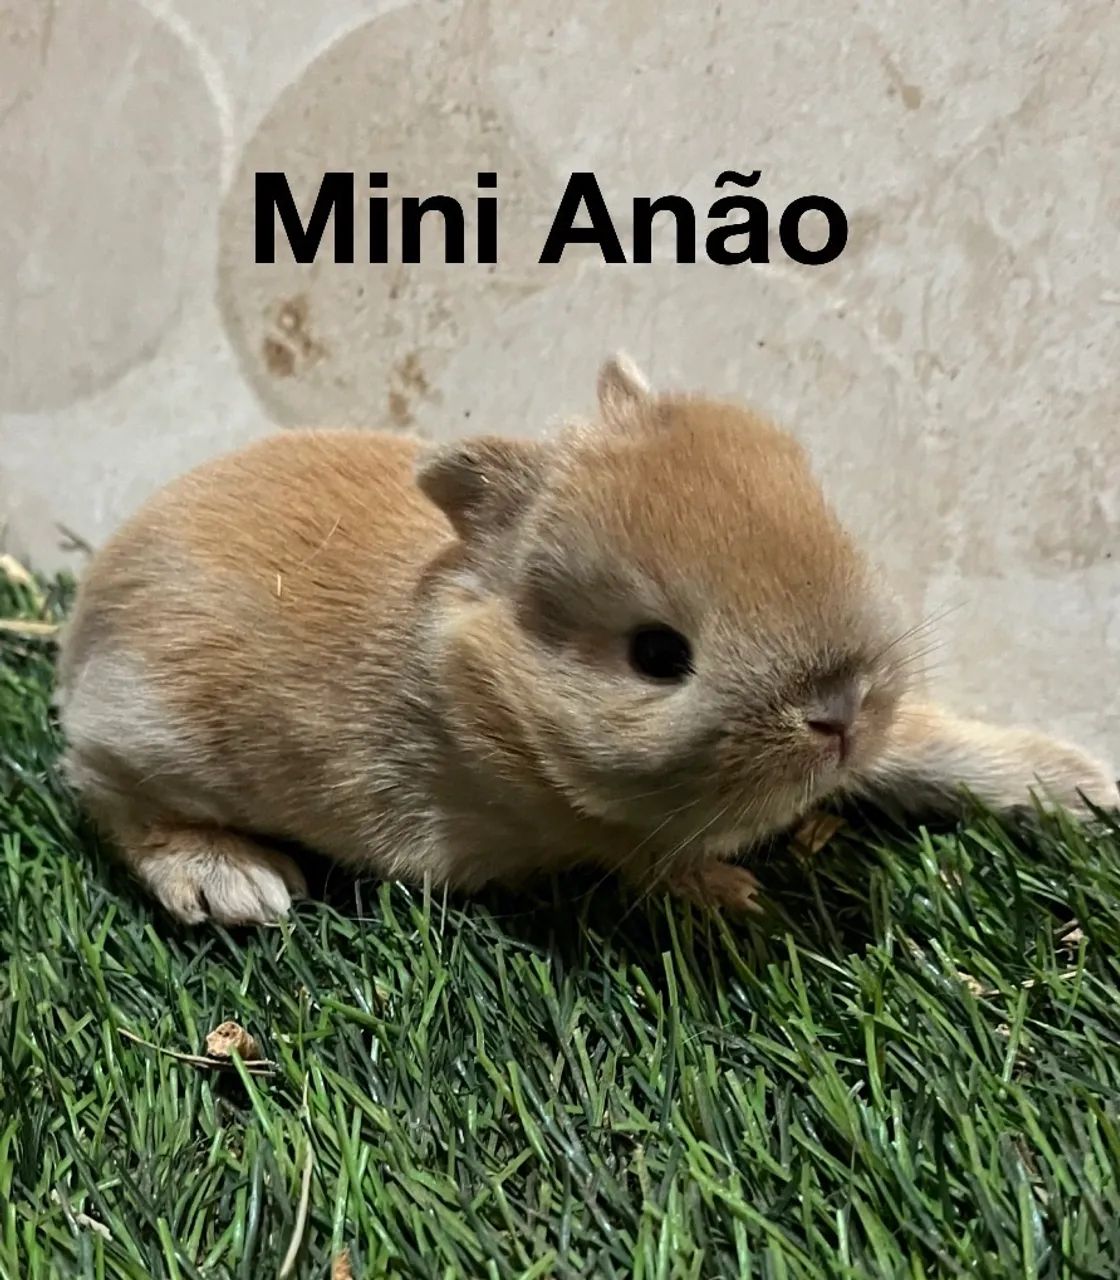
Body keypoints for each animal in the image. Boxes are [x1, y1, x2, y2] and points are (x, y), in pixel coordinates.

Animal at [55, 355, 1118, 926]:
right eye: (657, 656)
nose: (839, 711)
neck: (487, 685)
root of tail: (82, 631)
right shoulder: (598, 829)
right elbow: (655, 861)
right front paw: (741, 901)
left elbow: (933, 747)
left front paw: (1081, 787)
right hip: (156, 736)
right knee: (108, 798)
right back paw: (236, 885)